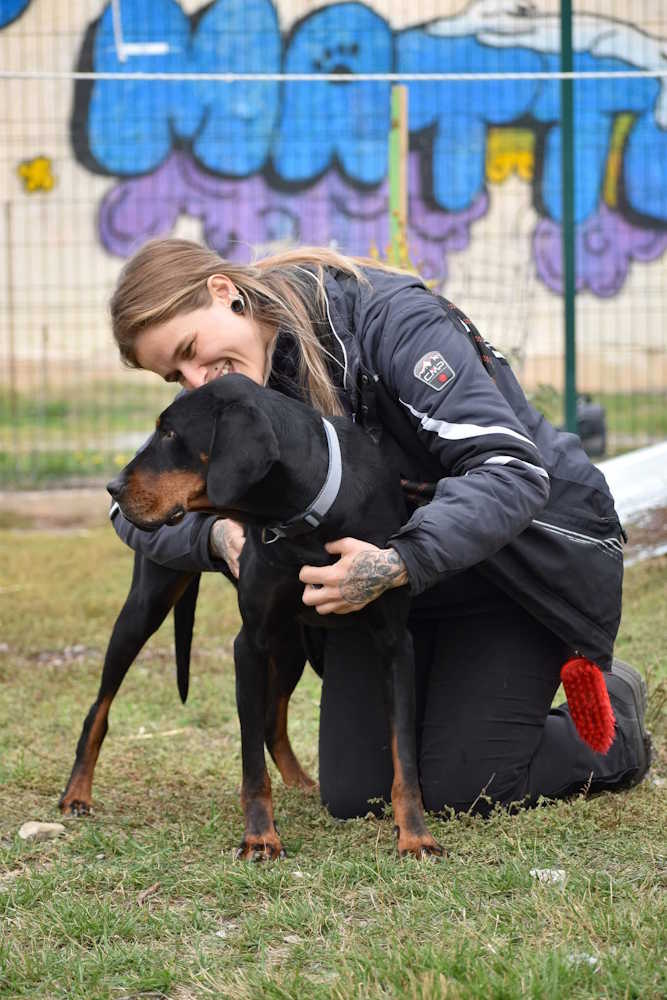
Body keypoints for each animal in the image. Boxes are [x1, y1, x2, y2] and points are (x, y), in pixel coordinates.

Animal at [61, 374, 442, 860]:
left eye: (170, 433)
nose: (111, 488)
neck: (308, 510)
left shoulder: (395, 642)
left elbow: (404, 756)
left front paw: (415, 835)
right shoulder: (250, 644)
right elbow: (251, 766)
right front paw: (261, 837)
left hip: (292, 643)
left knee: (272, 721)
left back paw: (302, 783)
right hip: (145, 608)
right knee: (100, 708)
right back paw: (76, 794)